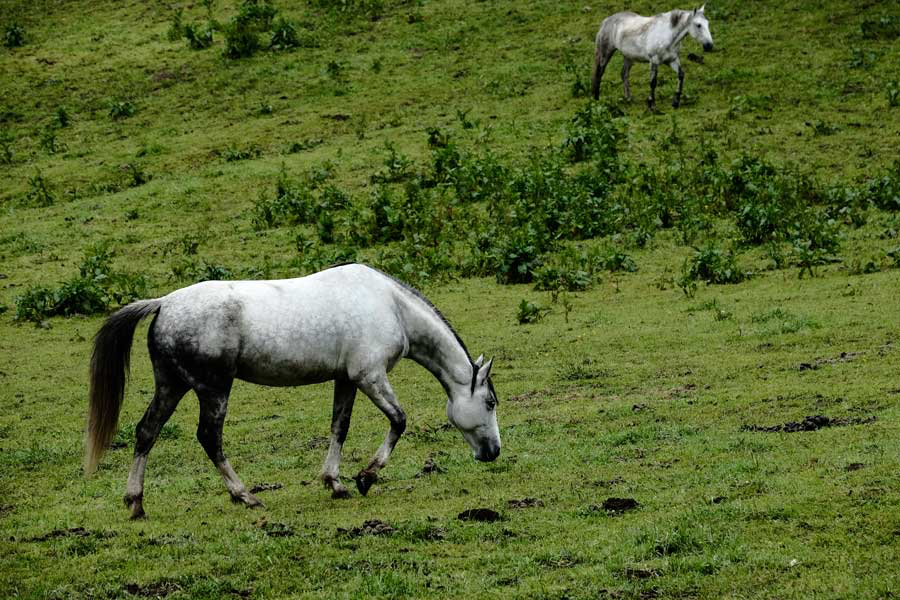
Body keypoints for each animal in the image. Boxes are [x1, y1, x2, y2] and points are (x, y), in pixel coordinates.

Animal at [86, 264, 500, 520]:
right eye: (490, 402)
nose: (494, 452)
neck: (391, 306)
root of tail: (164, 303)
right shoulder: (370, 376)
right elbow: (398, 421)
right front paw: (365, 478)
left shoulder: (346, 380)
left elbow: (339, 428)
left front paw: (335, 483)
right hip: (213, 389)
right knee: (209, 437)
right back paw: (245, 495)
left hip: (172, 385)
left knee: (147, 431)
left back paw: (136, 503)